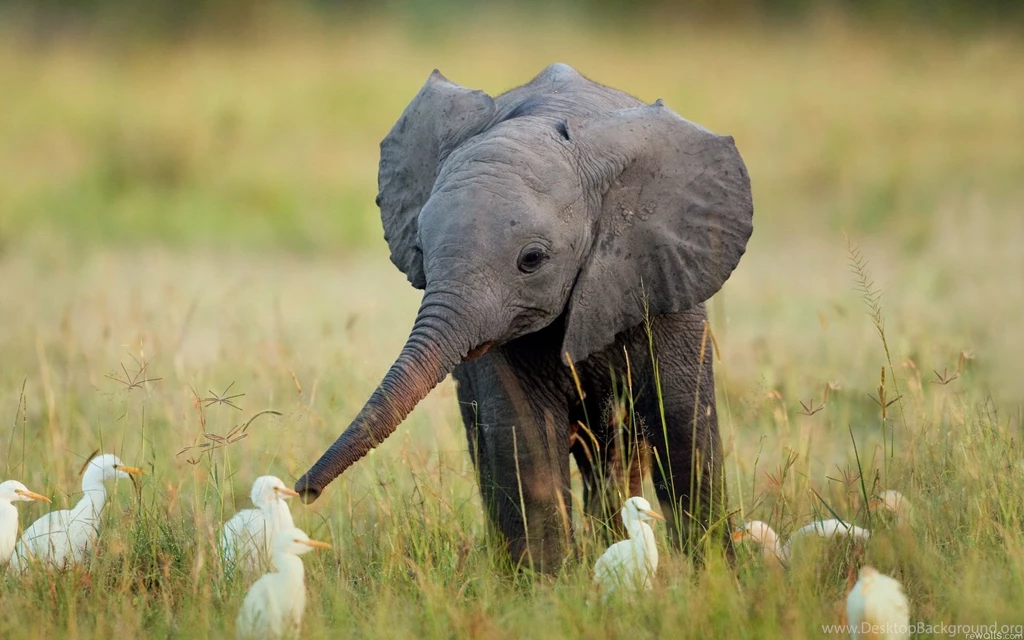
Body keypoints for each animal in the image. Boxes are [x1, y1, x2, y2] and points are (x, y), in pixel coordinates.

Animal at [295, 63, 754, 572]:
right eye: (420, 251)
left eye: (531, 260)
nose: (303, 491)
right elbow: (524, 435)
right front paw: (546, 585)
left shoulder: (664, 275)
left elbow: (684, 426)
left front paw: (715, 575)